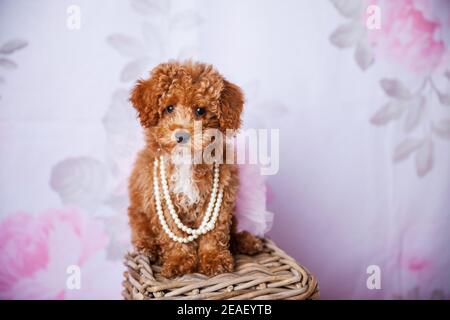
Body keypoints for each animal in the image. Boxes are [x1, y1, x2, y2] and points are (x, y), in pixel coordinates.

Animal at [127, 60, 264, 278]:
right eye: (169, 108)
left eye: (200, 111)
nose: (181, 135)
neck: (186, 161)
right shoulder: (161, 201)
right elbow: (172, 233)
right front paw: (180, 260)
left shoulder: (221, 197)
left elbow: (215, 231)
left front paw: (214, 259)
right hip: (138, 216)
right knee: (142, 232)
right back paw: (147, 248)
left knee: (232, 234)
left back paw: (247, 241)